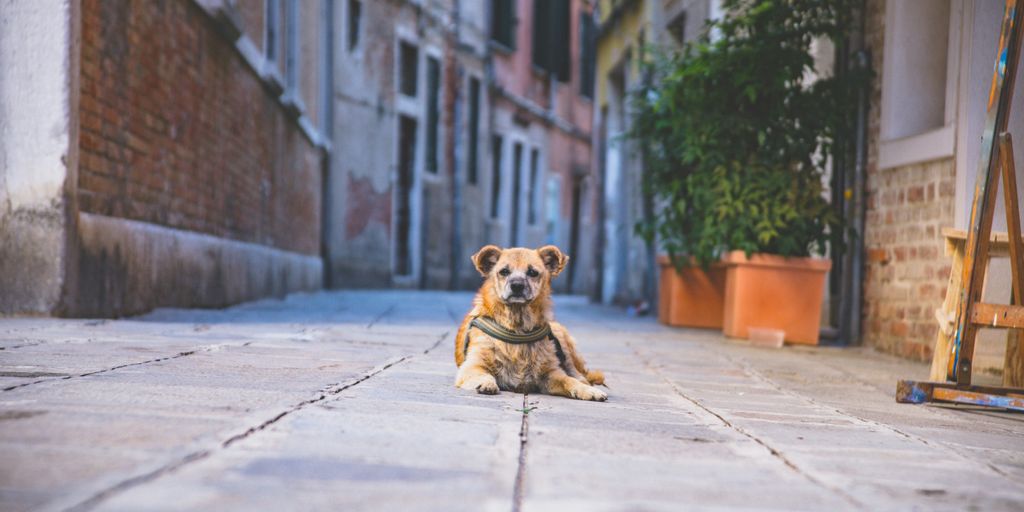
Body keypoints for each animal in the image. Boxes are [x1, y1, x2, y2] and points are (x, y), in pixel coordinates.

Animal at [452, 243, 602, 399]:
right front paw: (486, 383)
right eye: (504, 271)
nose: (517, 285)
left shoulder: (551, 373)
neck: (517, 328)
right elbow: (484, 374)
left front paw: (586, 390)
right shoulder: (472, 366)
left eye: (533, 272)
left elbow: (568, 380)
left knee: (578, 374)